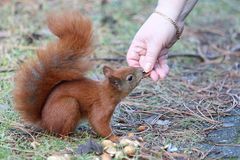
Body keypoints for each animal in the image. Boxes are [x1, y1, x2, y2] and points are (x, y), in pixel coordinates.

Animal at [13, 10, 143, 141]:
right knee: (61, 134)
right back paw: (71, 137)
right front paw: (116, 138)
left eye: (125, 67)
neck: (107, 91)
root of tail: (44, 123)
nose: (142, 70)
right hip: (69, 106)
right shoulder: (101, 106)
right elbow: (98, 123)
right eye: (130, 78)